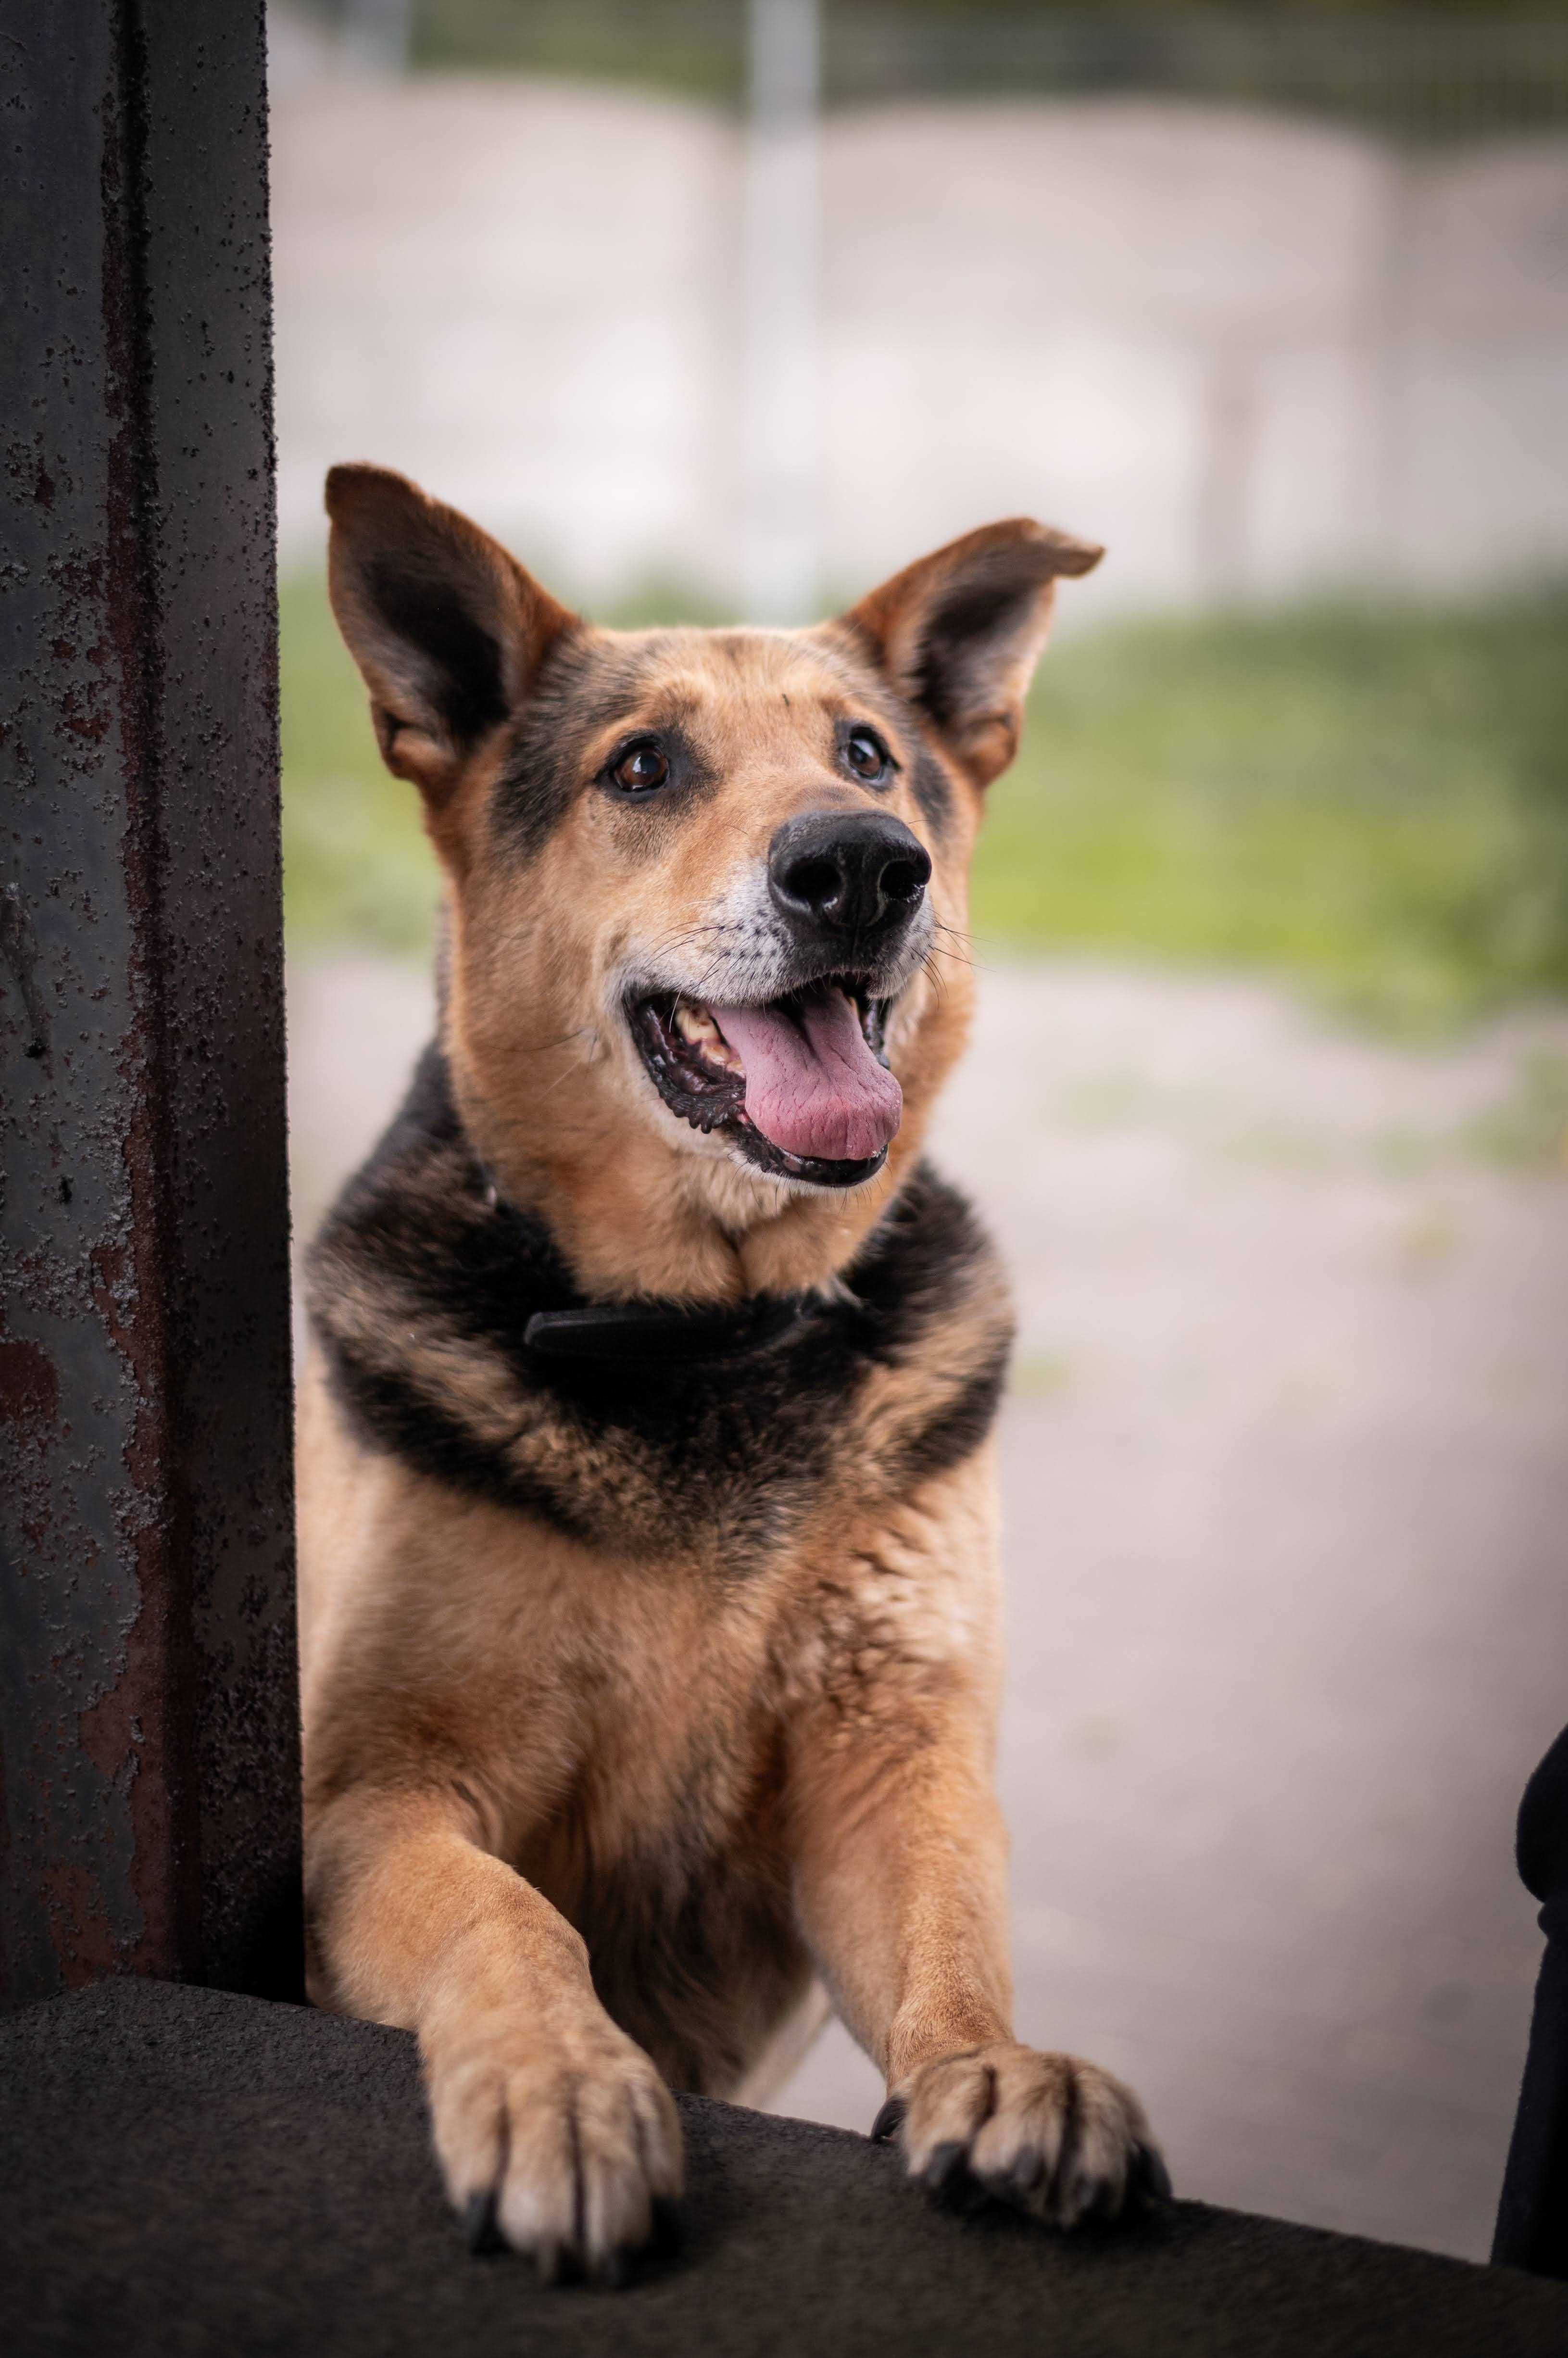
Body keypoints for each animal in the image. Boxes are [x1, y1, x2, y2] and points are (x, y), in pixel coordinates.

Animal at [299, 464, 1169, 2282]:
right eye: (642, 767)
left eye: (867, 755)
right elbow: (510, 1918)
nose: (864, 868)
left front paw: (999, 2067)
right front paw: (560, 2082)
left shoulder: (892, 1767)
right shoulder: (372, 1803)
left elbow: (950, 1937)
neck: (700, 1323)